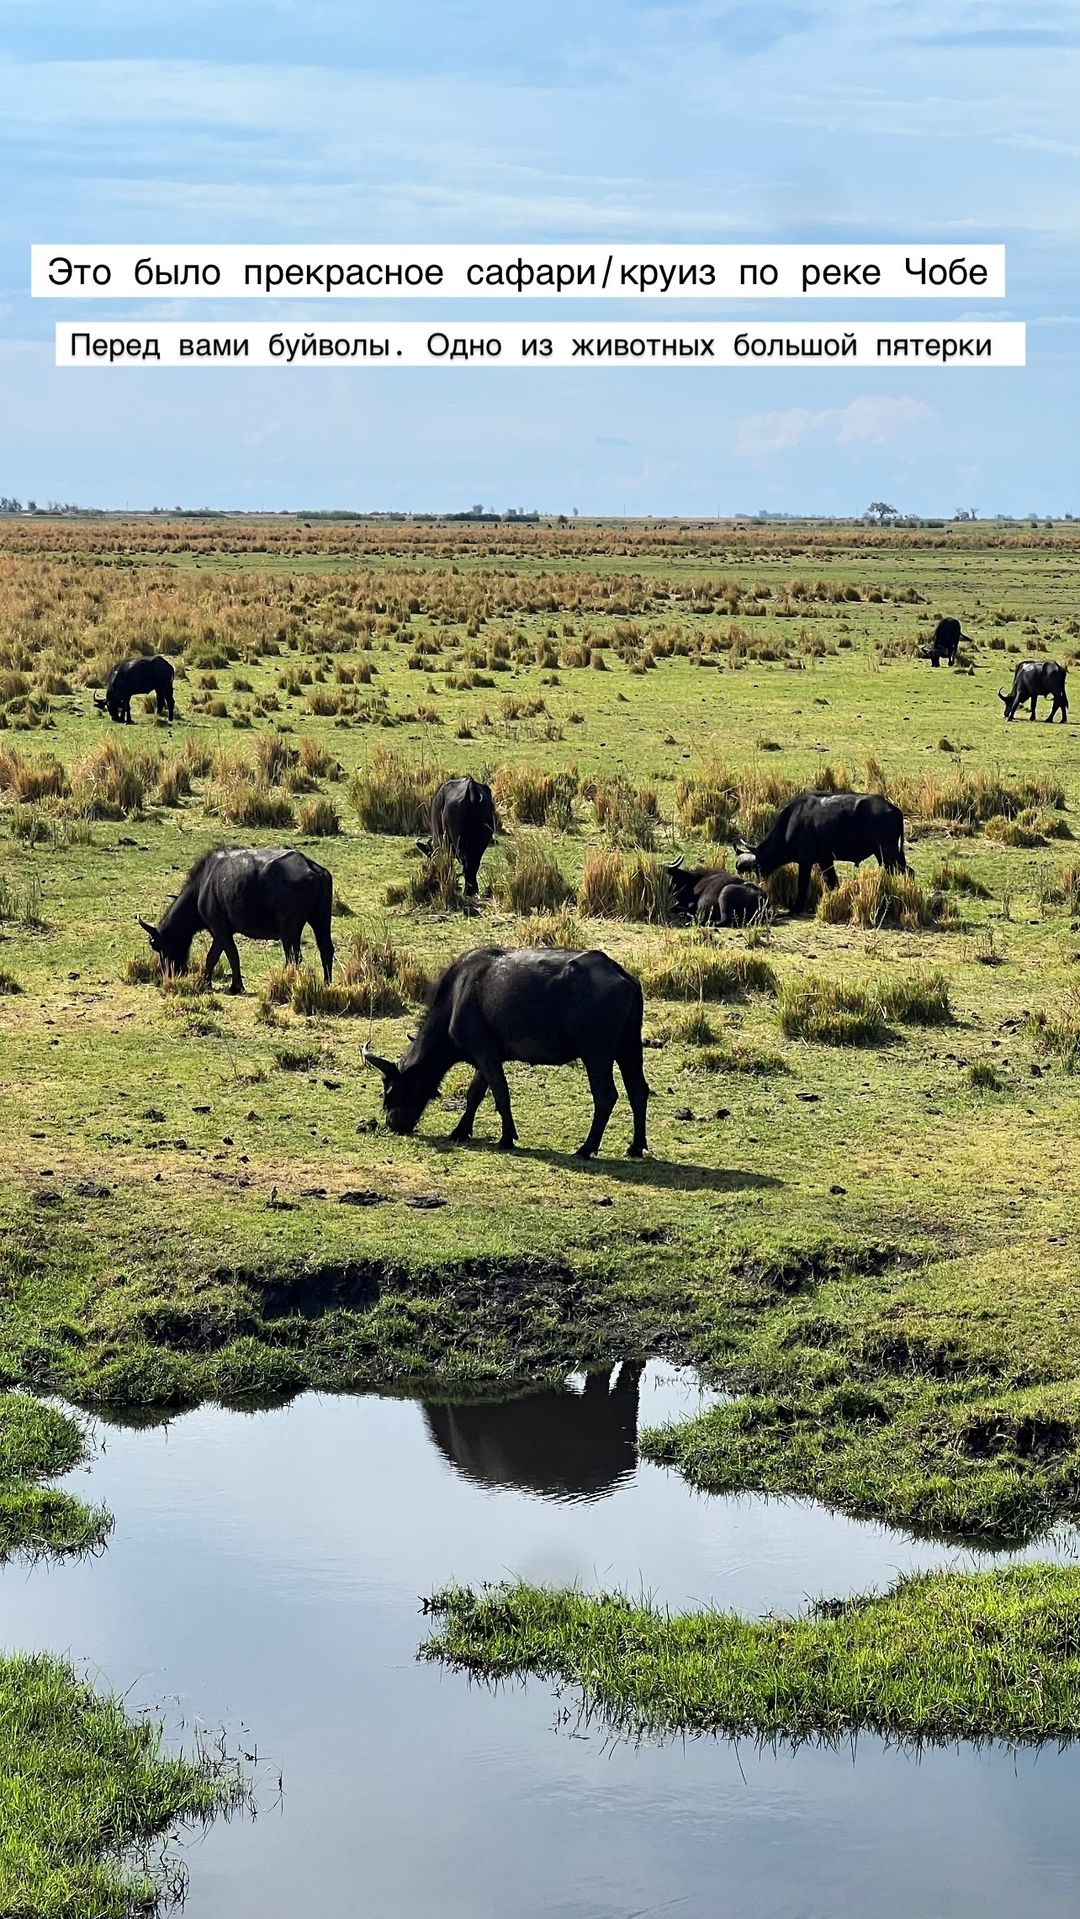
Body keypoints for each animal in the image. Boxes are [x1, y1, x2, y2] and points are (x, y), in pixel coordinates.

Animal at [141, 848, 333, 997]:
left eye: (158, 946)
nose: (169, 973)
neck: (203, 885)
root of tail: (312, 868)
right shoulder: (220, 933)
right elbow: (213, 957)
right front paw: (206, 981)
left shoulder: (220, 929)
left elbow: (231, 955)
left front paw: (235, 986)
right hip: (320, 919)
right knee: (326, 949)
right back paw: (327, 983)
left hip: (289, 929)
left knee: (293, 957)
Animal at [362, 944, 652, 1151]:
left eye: (390, 1088)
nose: (392, 1123)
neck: (457, 996)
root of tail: (621, 974)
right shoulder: (485, 1059)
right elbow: (475, 1095)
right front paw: (460, 1131)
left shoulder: (486, 1055)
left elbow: (501, 1094)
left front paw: (507, 1137)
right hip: (629, 1048)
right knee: (638, 1091)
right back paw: (636, 1146)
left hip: (597, 1055)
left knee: (606, 1096)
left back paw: (586, 1148)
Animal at [740, 794, 909, 913]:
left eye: (757, 865)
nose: (758, 880)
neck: (790, 824)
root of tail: (892, 807)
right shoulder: (825, 860)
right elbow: (832, 882)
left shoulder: (805, 862)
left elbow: (803, 884)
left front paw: (796, 908)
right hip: (892, 855)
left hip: (888, 854)